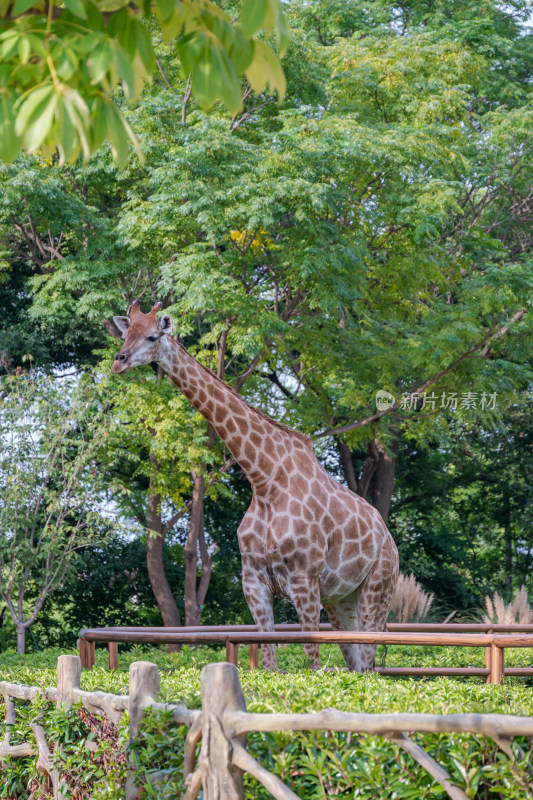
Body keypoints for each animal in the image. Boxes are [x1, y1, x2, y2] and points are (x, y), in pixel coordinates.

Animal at [112, 300, 396, 668]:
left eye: (151, 336)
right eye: (124, 333)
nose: (118, 361)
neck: (264, 481)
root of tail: (389, 539)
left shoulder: (304, 579)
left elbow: (312, 660)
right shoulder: (254, 581)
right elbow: (269, 661)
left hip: (378, 588)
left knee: (370, 661)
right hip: (342, 597)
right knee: (359, 665)